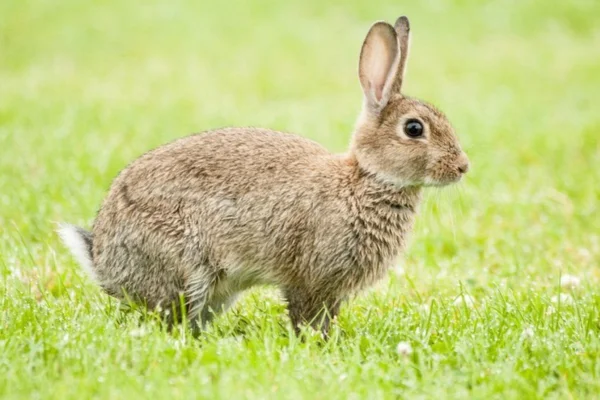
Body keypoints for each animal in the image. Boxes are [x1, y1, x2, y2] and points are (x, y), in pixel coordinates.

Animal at [57, 17, 468, 338]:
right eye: (414, 129)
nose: (463, 167)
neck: (364, 181)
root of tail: (104, 264)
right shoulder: (308, 278)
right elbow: (306, 316)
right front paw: (316, 346)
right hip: (186, 271)